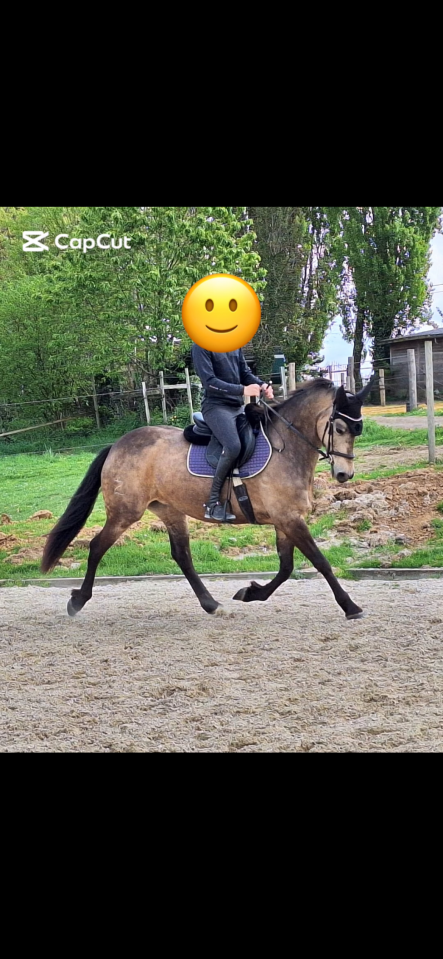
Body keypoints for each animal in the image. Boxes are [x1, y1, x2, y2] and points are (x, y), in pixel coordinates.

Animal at [41, 377, 372, 620]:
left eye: (358, 430)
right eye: (339, 427)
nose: (344, 475)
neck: (287, 447)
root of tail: (117, 445)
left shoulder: (285, 519)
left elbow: (286, 567)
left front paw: (251, 593)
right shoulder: (289, 519)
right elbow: (320, 562)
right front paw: (351, 607)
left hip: (170, 511)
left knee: (182, 556)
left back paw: (212, 604)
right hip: (125, 512)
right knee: (97, 547)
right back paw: (77, 601)